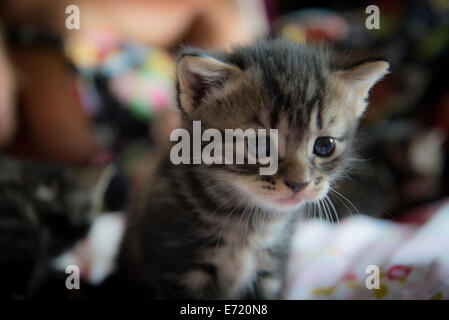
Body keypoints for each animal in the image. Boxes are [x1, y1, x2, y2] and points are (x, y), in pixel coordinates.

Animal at [119, 38, 388, 298]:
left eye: (324, 146)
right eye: (260, 145)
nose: (299, 183)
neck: (249, 223)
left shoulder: (270, 273)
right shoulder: (177, 271)